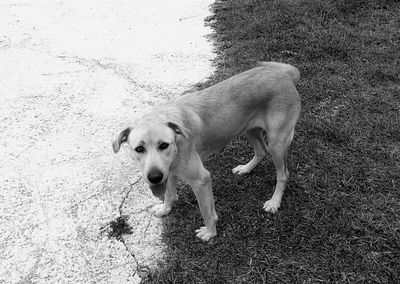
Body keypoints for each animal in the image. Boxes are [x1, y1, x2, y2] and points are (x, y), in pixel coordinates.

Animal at [112, 62, 300, 242]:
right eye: (139, 149)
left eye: (164, 145)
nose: (154, 177)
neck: (176, 139)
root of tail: (285, 74)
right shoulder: (169, 171)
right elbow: (169, 193)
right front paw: (165, 209)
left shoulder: (201, 180)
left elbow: (206, 211)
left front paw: (210, 232)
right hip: (249, 129)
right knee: (261, 150)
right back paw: (246, 168)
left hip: (277, 143)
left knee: (283, 174)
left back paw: (274, 202)